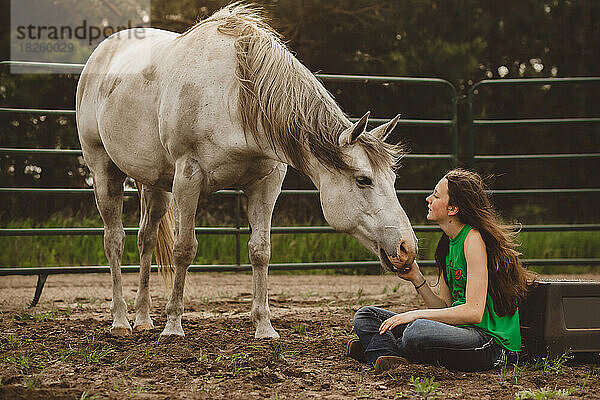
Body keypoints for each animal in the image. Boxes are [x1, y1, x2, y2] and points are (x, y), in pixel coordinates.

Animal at [77, 4, 418, 340]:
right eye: (363, 179)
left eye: (393, 179)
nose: (407, 248)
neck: (232, 96)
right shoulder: (188, 177)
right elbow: (184, 249)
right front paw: (173, 327)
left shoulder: (266, 182)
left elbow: (260, 251)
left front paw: (264, 327)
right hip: (104, 171)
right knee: (114, 240)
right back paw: (120, 321)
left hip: (155, 183)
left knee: (145, 240)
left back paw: (144, 319)